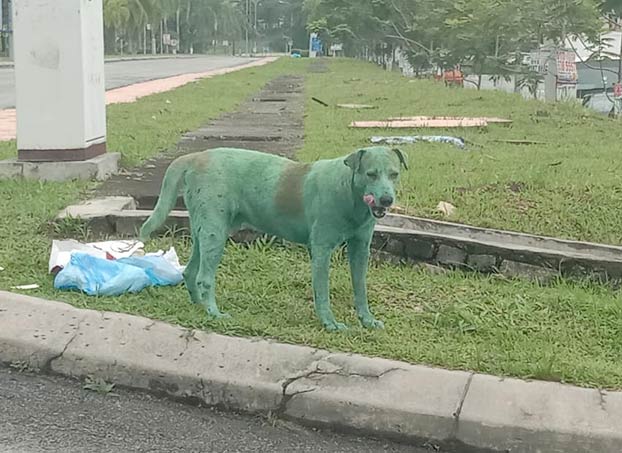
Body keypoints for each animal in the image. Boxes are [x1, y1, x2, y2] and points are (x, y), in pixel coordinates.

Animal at [139, 147, 408, 330]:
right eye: (371, 174)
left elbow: (360, 287)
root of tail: (196, 156)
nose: (387, 200)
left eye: (394, 174)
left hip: (204, 231)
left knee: (190, 271)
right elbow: (322, 292)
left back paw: (199, 306)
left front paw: (367, 320)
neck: (349, 191)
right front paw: (330, 323)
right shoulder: (321, 250)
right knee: (204, 278)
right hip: (215, 232)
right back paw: (214, 313)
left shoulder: (361, 249)